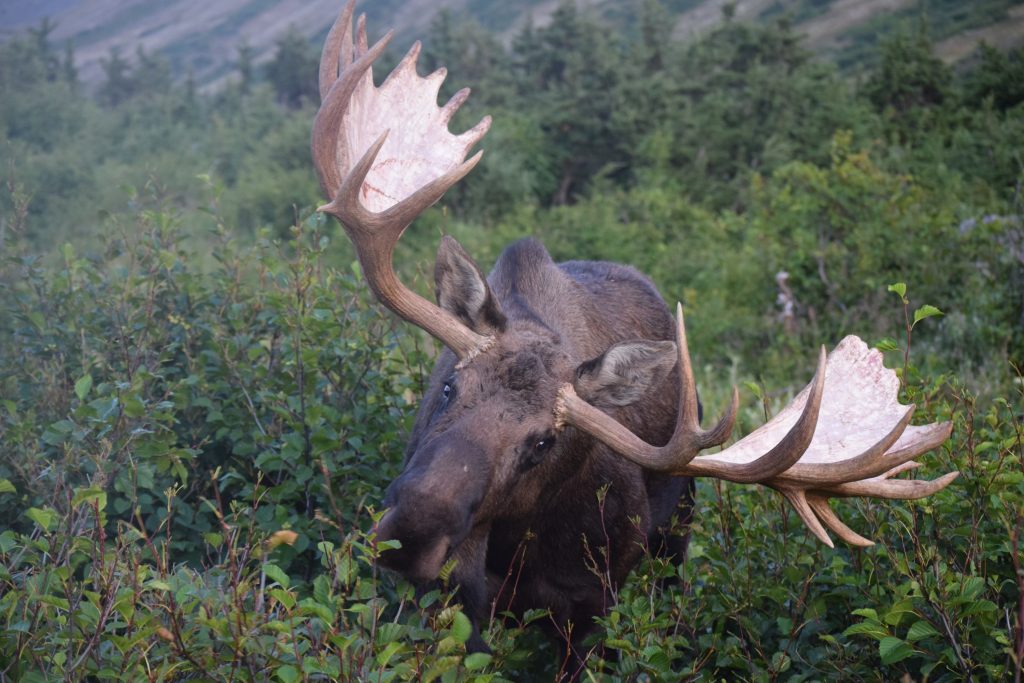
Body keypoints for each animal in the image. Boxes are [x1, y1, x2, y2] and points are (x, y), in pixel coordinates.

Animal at [311, 0, 958, 667]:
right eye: (447, 388)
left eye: (544, 441)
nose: (413, 532)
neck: (519, 545)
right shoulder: (453, 603)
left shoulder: (591, 603)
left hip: (678, 536)